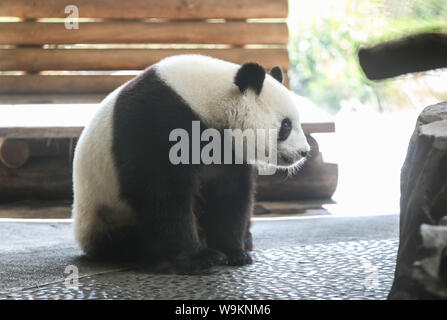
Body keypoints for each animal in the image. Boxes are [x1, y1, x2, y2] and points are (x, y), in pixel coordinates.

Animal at [73, 55, 312, 272]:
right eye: (286, 125)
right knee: (127, 240)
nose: (304, 152)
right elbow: (162, 195)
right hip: (105, 214)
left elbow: (229, 194)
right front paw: (200, 258)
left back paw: (245, 239)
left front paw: (234, 251)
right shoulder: (154, 123)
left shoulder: (226, 149)